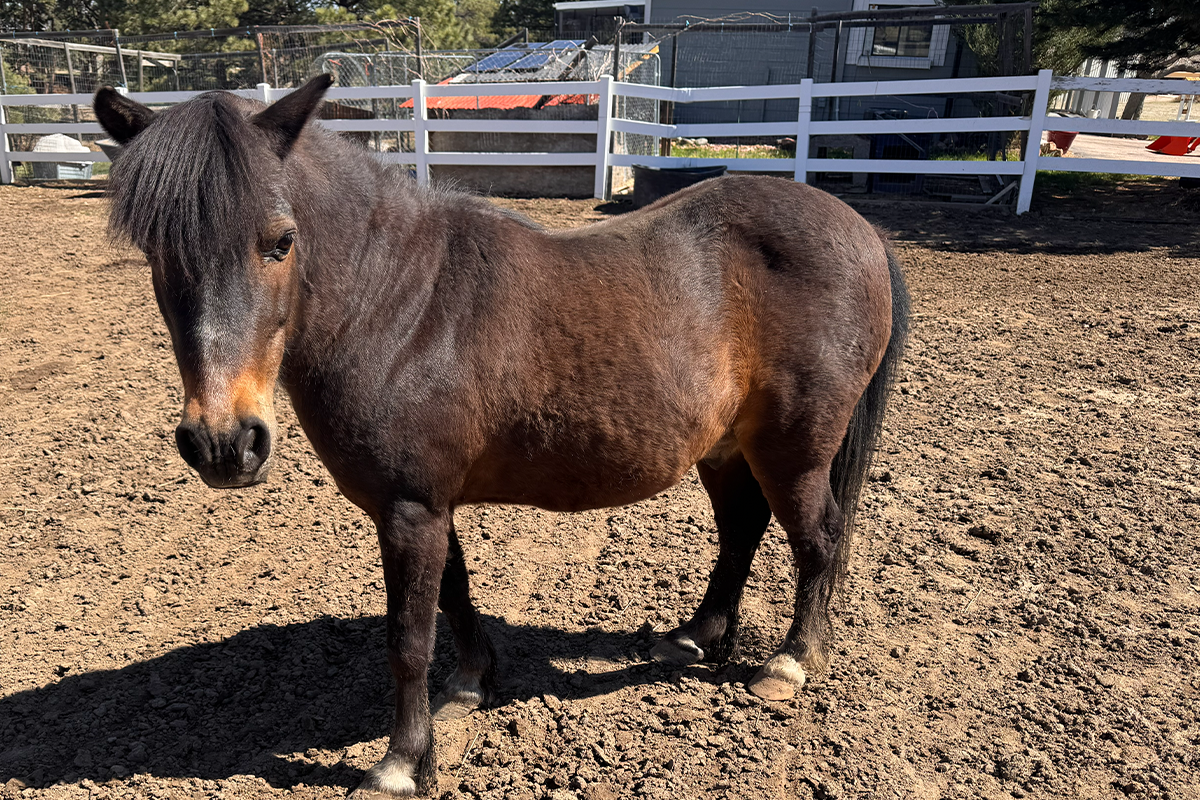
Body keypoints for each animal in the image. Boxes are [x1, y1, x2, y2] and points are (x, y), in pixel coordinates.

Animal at [93, 75, 909, 798]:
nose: (224, 443)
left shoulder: (410, 507)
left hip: (795, 449)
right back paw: (696, 635)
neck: (399, 306)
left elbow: (408, 637)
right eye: (156, 253)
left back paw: (789, 664)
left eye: (280, 241)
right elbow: (453, 594)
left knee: (818, 539)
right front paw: (471, 684)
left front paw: (401, 763)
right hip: (727, 446)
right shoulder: (422, 502)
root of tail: (859, 229)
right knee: (741, 526)